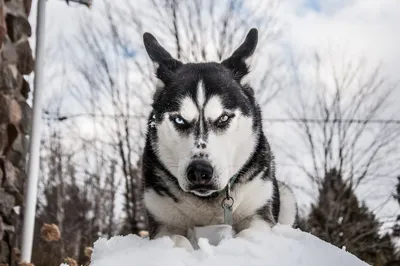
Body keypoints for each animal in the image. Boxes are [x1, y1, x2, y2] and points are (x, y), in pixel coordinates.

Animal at [141, 28, 296, 249]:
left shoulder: (258, 214)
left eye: (223, 118)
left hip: (286, 195)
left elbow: (249, 234)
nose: (199, 171)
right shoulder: (164, 223)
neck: (207, 202)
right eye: (179, 119)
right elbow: (176, 240)